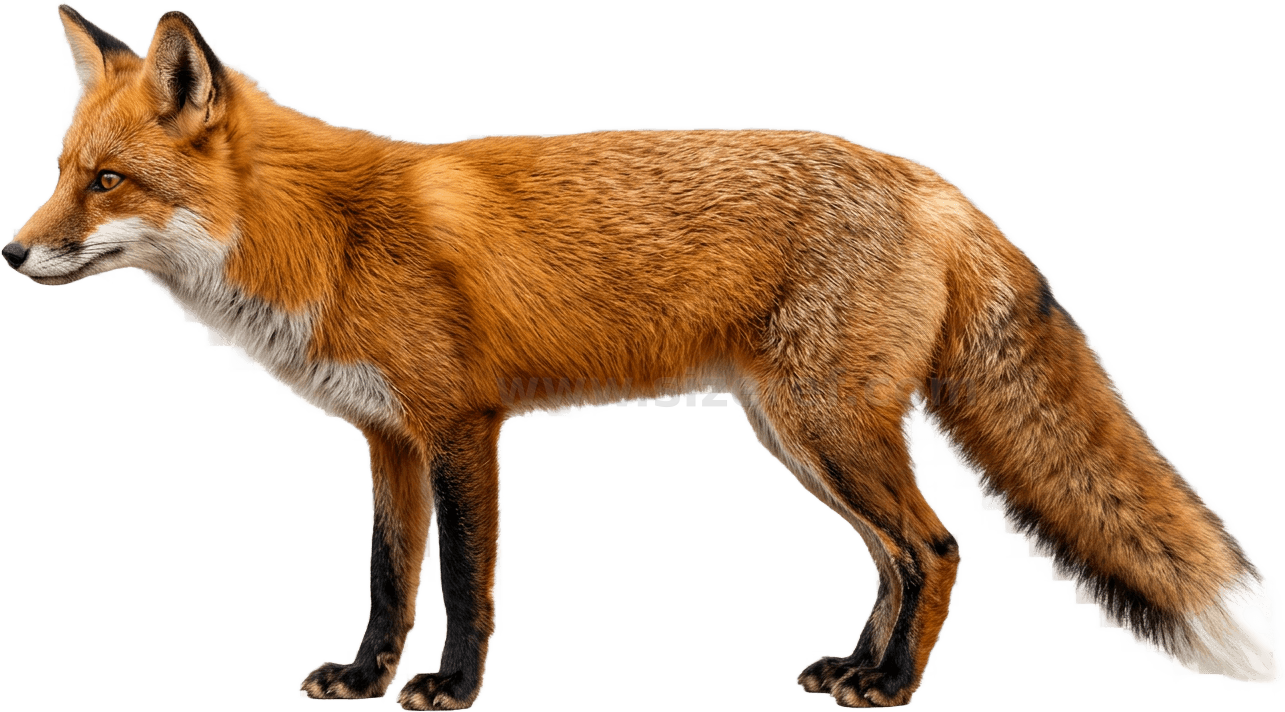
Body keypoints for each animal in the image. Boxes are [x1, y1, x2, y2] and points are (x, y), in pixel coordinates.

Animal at [6, 4, 1280, 709]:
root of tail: (935, 181)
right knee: (897, 559)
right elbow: (386, 579)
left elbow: (465, 582)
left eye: (108, 182)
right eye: (64, 172)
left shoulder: (464, 426)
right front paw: (365, 677)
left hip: (827, 429)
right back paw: (854, 667)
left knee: (938, 547)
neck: (322, 230)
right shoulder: (386, 440)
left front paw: (451, 689)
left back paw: (890, 689)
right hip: (798, 436)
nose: (13, 252)